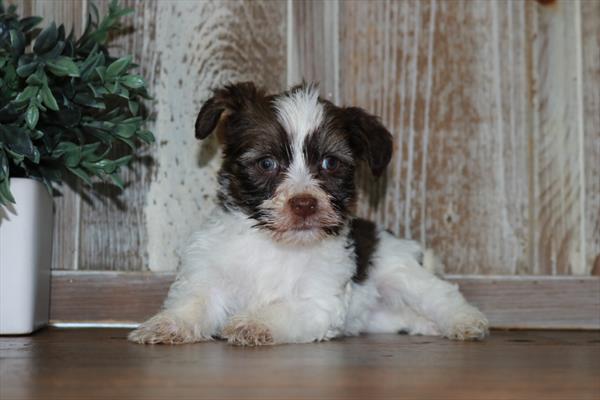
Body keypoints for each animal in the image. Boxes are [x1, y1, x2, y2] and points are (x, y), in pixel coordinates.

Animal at [127, 83, 488, 346]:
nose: (304, 203)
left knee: (441, 295)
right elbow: (196, 303)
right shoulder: (209, 276)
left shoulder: (318, 301)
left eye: (330, 163)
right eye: (267, 163)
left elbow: (282, 308)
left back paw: (466, 321)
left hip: (401, 272)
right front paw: (166, 324)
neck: (274, 242)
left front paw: (252, 323)